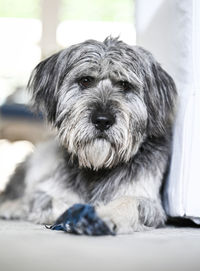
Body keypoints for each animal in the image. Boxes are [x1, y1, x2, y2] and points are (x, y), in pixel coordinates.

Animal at [0, 37, 177, 235]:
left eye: (124, 84)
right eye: (85, 80)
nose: (102, 120)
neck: (97, 168)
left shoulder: (148, 201)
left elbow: (128, 202)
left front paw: (102, 216)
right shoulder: (45, 189)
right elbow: (49, 201)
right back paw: (11, 207)